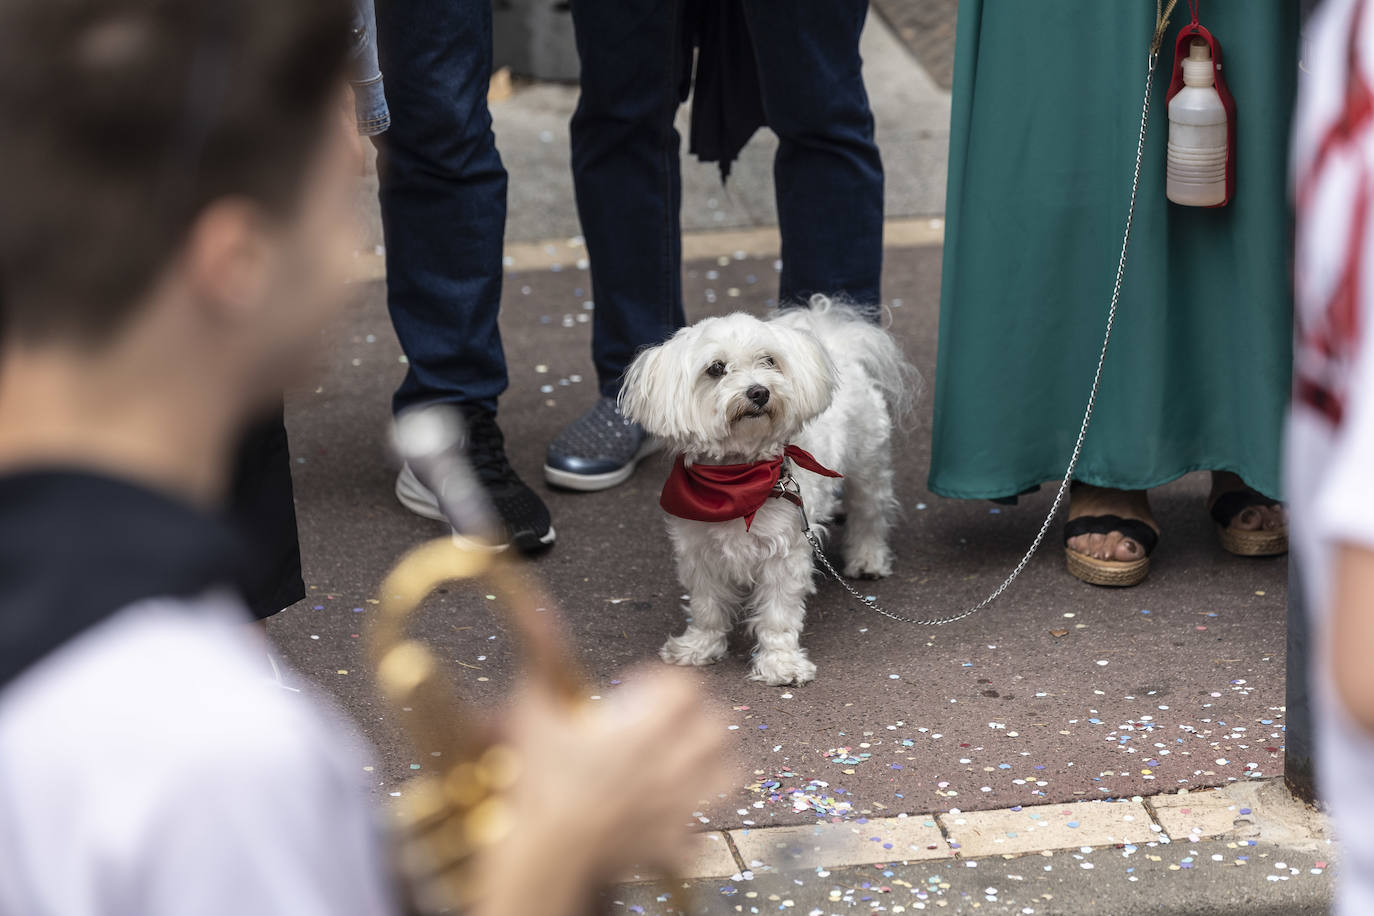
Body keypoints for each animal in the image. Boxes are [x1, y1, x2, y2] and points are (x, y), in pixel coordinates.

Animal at [623, 298, 912, 683]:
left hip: (868, 463)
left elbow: (778, 615)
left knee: (870, 514)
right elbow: (706, 607)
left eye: (769, 360)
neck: (739, 478)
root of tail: (834, 339)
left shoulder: (785, 552)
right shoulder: (698, 550)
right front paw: (698, 647)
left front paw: (780, 664)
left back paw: (868, 558)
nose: (759, 391)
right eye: (716, 369)